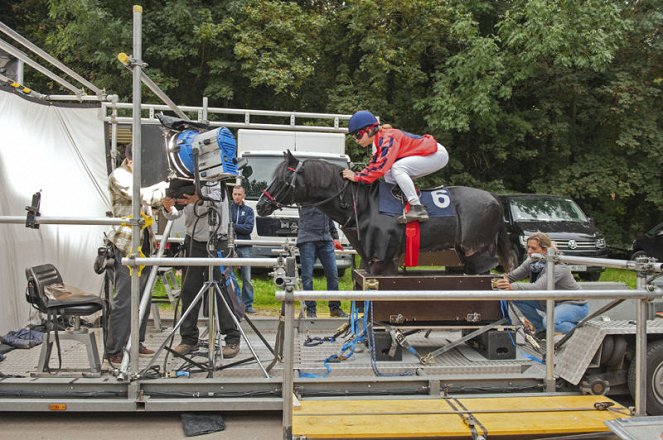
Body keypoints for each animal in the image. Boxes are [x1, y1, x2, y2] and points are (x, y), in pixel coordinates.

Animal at [256, 151, 510, 276]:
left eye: (283, 178)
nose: (261, 205)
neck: (362, 204)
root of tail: (494, 198)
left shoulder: (384, 258)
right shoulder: (369, 259)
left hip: (477, 252)